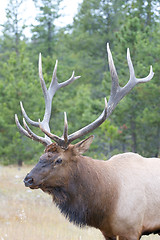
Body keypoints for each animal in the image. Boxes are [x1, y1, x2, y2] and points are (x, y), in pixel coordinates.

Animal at [15, 43, 160, 240]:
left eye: (59, 159)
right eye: (41, 157)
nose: (28, 179)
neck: (107, 202)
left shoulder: (131, 229)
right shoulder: (107, 231)